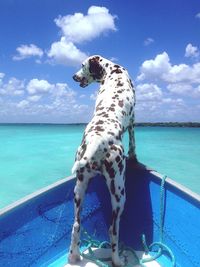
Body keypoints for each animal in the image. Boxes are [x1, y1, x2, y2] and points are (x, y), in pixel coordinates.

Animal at [68, 55, 137, 266]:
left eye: (82, 66)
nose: (74, 77)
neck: (113, 71)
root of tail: (96, 141)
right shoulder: (133, 120)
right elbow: (133, 142)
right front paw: (134, 156)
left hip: (79, 189)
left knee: (76, 225)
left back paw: (73, 256)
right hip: (119, 194)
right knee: (113, 231)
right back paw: (117, 260)